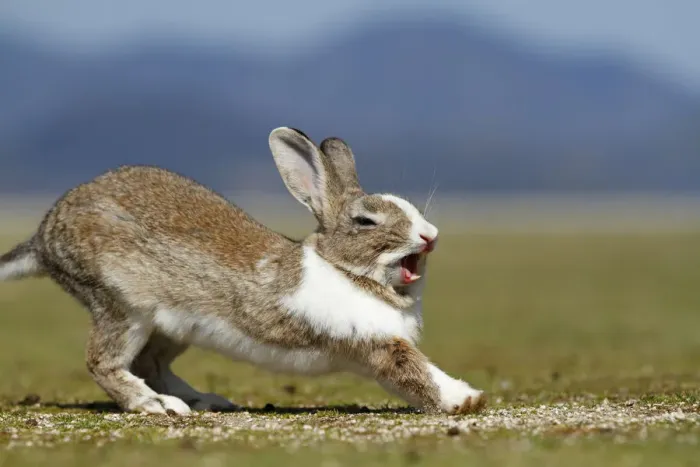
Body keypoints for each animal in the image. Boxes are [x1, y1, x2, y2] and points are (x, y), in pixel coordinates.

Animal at [0, 127, 486, 415]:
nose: (430, 236)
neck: (347, 271)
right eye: (366, 221)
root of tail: (44, 237)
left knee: (150, 362)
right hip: (124, 307)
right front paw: (467, 400)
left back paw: (205, 400)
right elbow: (417, 373)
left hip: (172, 326)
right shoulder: (375, 343)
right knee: (104, 363)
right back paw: (158, 406)